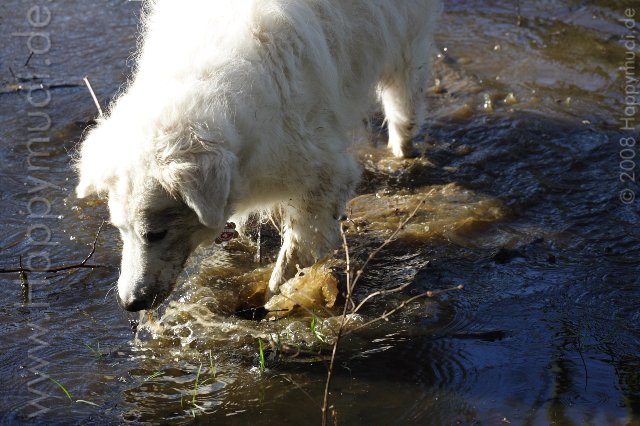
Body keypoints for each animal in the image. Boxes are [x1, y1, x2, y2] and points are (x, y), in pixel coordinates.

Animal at [74, 0, 440, 312]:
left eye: (156, 234)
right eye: (120, 230)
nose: (129, 304)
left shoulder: (320, 172)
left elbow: (295, 254)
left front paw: (272, 300)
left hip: (407, 43)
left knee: (403, 105)